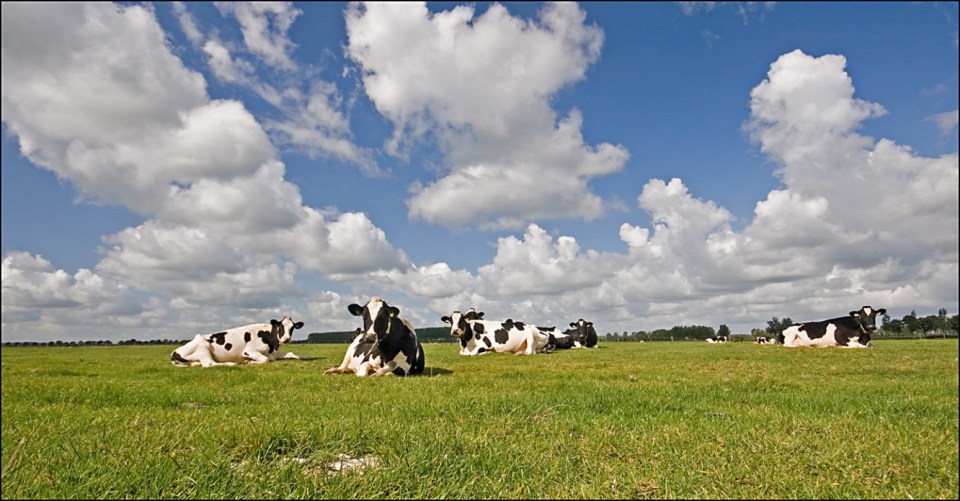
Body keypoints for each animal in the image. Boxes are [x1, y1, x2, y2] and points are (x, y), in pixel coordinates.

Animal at [171, 316, 304, 367]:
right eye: (280, 326)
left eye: (292, 327)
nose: (286, 339)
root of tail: (174, 353)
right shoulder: (249, 351)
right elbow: (266, 359)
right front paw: (248, 362)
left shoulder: (275, 353)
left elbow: (291, 354)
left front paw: (304, 356)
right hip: (203, 348)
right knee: (209, 363)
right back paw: (232, 363)